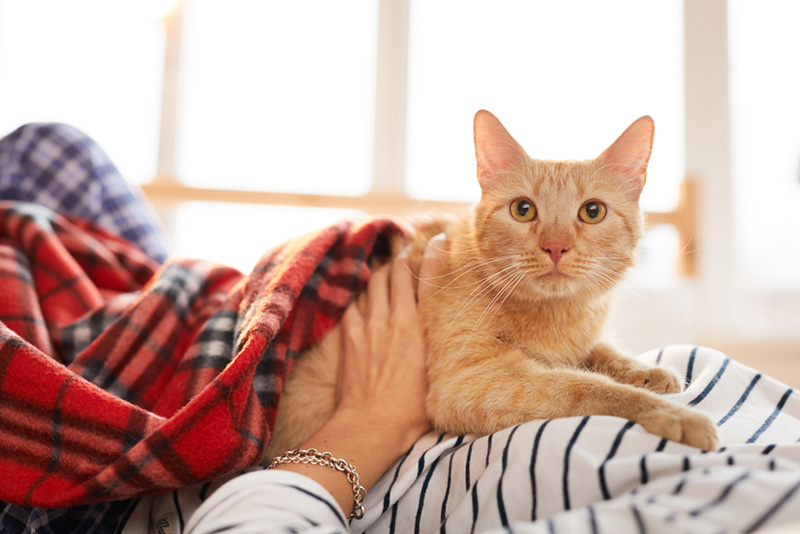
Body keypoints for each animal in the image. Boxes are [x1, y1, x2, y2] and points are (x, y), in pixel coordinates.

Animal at [268, 110, 720, 460]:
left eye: (592, 211)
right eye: (523, 210)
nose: (555, 247)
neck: (557, 321)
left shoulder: (578, 344)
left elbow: (605, 353)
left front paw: (646, 372)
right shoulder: (468, 381)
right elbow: (581, 385)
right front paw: (671, 413)